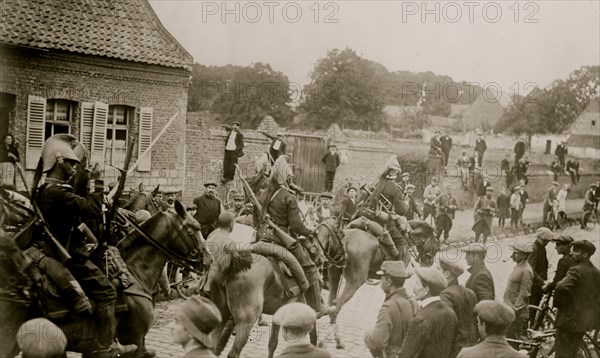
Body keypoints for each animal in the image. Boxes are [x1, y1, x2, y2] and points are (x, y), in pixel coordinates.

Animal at [316, 217, 438, 348]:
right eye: (435, 245)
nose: (429, 262)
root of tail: (344, 240)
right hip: (355, 281)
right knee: (336, 305)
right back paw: (335, 340)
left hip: (334, 274)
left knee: (331, 304)